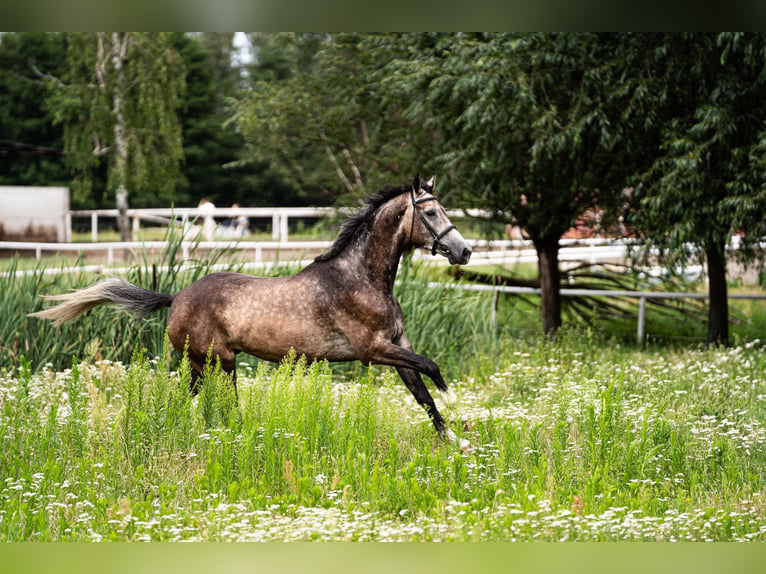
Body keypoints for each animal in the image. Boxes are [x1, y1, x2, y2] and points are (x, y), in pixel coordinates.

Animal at [31, 178, 474, 448]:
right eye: (430, 213)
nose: (465, 251)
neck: (360, 278)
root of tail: (176, 297)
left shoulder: (397, 344)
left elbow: (421, 394)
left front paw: (455, 439)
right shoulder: (373, 350)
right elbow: (432, 369)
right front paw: (459, 410)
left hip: (202, 365)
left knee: (185, 401)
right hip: (219, 361)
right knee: (224, 405)